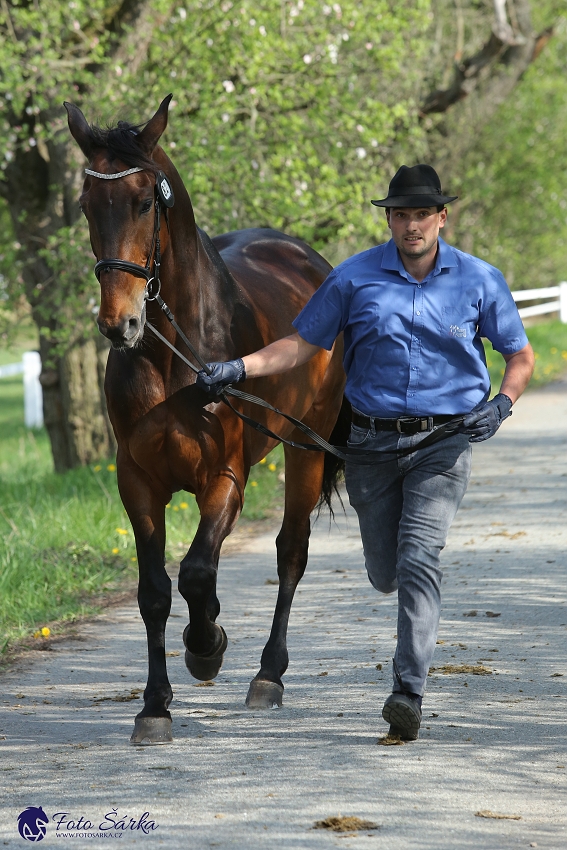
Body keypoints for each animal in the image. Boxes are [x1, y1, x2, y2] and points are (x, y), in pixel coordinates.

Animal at [62, 94, 346, 744]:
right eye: (87, 204)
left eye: (146, 200)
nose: (119, 324)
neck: (178, 357)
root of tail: (304, 256)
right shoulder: (138, 481)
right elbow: (154, 592)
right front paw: (154, 706)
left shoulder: (226, 477)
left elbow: (195, 573)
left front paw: (207, 645)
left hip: (306, 447)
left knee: (291, 553)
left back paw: (268, 675)